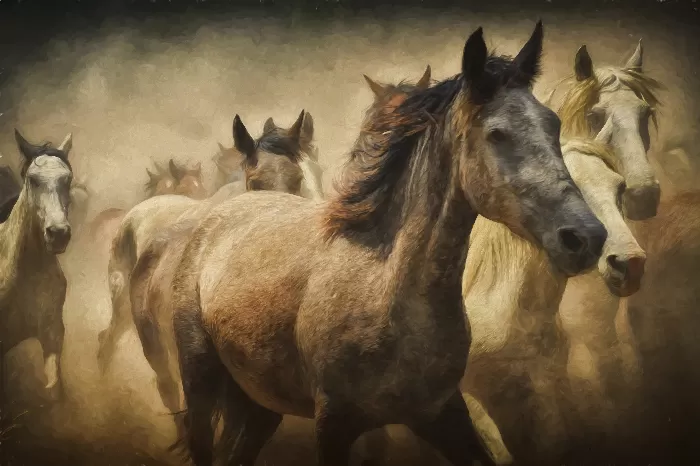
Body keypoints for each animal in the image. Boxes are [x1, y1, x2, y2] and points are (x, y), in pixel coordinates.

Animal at [168, 22, 608, 466]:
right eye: (496, 133)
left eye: (553, 124)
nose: (585, 237)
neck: (387, 289)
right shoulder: (334, 424)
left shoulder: (442, 414)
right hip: (201, 379)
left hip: (260, 403)